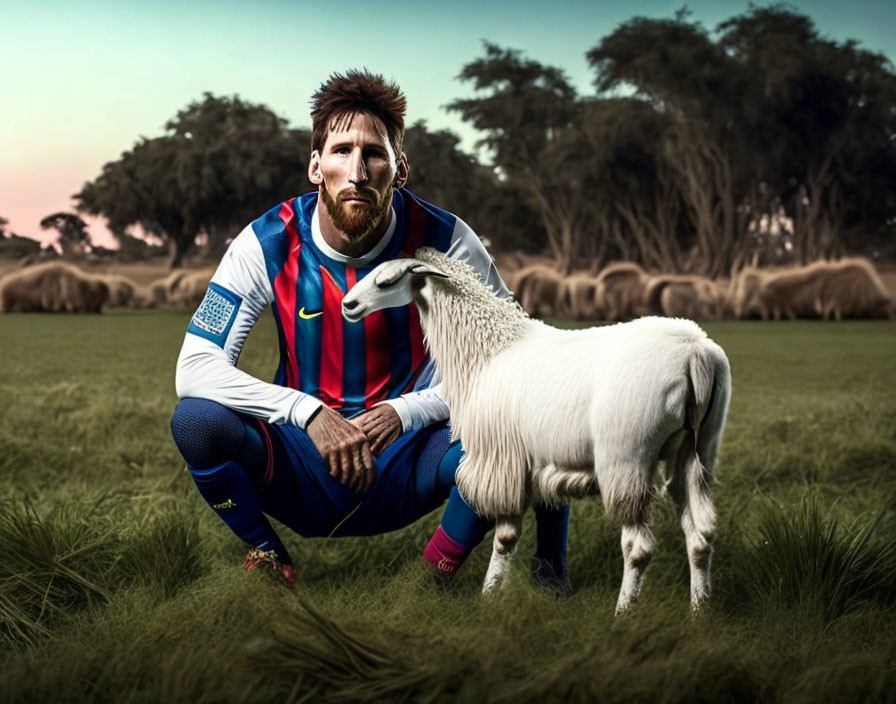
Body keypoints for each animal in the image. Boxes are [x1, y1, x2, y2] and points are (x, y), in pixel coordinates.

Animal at [340, 250, 732, 612]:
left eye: (387, 282)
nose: (348, 305)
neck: (490, 349)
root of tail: (695, 353)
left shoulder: (502, 461)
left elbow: (503, 538)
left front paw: (487, 596)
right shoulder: (528, 464)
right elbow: (509, 536)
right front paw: (491, 598)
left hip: (627, 459)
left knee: (639, 548)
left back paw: (623, 614)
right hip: (695, 451)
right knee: (701, 536)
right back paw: (700, 611)